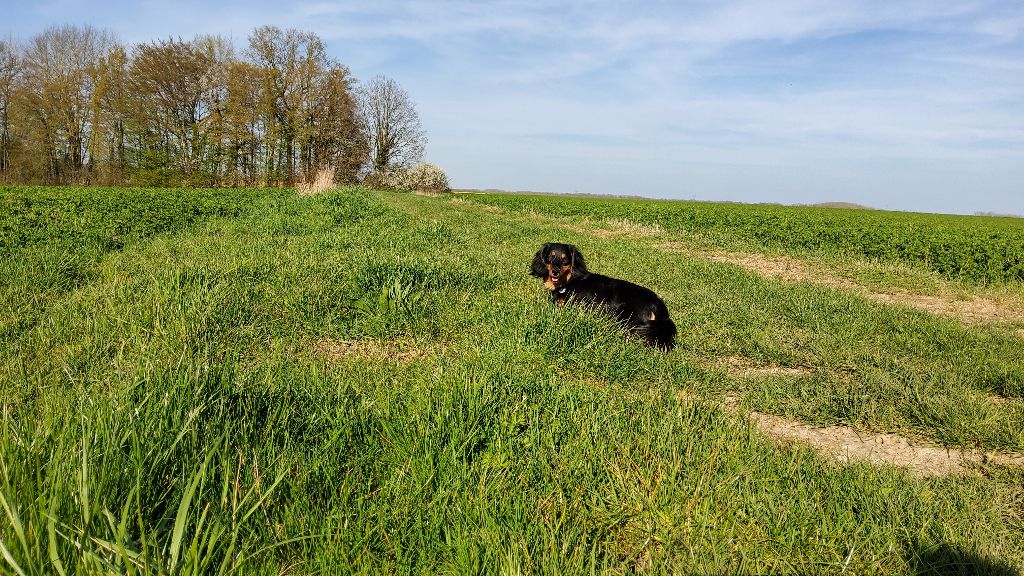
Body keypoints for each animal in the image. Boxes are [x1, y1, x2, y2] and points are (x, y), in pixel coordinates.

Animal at [532, 240, 675, 348]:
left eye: (565, 259)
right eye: (550, 256)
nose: (555, 272)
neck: (568, 282)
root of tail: (658, 302)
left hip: (628, 317)